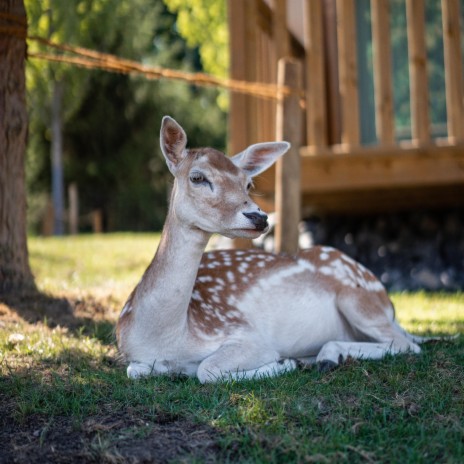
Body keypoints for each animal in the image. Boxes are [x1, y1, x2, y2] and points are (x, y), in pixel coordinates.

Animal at [117, 117, 438, 384]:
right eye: (197, 177)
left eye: (248, 183)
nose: (259, 216)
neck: (168, 337)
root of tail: (388, 303)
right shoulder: (132, 356)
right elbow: (136, 370)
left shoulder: (246, 334)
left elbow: (207, 370)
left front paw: (284, 362)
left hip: (358, 298)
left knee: (407, 344)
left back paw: (325, 357)